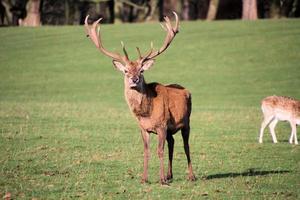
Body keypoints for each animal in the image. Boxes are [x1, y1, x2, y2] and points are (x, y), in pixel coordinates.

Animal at [84, 12, 197, 184]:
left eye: (141, 70)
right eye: (126, 71)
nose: (134, 79)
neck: (146, 112)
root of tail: (186, 90)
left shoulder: (162, 125)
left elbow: (159, 151)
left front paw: (161, 179)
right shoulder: (143, 128)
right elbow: (146, 151)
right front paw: (144, 178)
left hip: (186, 122)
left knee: (186, 146)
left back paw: (191, 176)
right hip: (171, 129)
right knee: (172, 143)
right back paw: (170, 175)